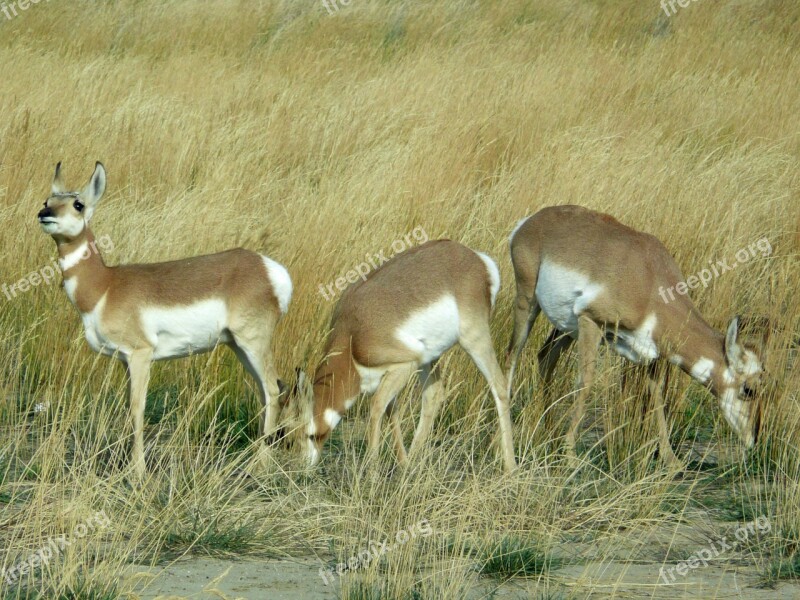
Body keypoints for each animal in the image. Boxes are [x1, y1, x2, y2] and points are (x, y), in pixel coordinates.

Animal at [37, 161, 292, 478]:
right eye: (47, 200)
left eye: (78, 204)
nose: (45, 214)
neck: (106, 286)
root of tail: (267, 267)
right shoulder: (125, 360)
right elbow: (128, 407)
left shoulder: (141, 355)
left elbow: (138, 409)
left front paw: (138, 473)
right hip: (238, 346)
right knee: (266, 391)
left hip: (252, 342)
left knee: (272, 388)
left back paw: (260, 467)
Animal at [300, 239, 520, 474]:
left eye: (309, 434)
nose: (302, 468)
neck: (352, 336)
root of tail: (476, 258)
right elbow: (391, 412)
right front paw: (403, 463)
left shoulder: (404, 365)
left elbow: (376, 408)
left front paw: (372, 472)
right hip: (430, 357)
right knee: (433, 395)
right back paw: (413, 462)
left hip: (473, 340)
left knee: (499, 386)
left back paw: (510, 466)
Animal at [506, 205, 764, 464]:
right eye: (748, 389)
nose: (754, 438)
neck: (649, 278)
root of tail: (531, 221)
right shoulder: (591, 322)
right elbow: (585, 383)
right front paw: (569, 454)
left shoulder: (651, 354)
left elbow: (657, 395)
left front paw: (671, 460)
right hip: (529, 303)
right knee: (512, 355)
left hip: (565, 326)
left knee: (545, 356)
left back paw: (548, 433)